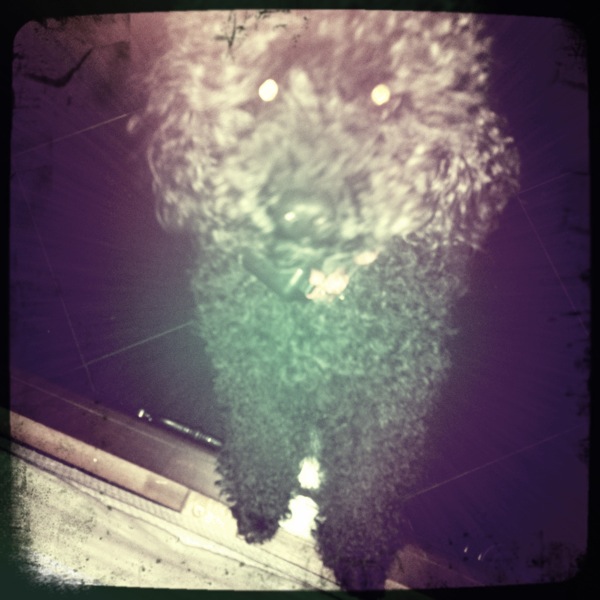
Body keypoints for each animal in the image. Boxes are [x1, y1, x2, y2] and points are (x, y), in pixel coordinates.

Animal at [131, 10, 519, 591]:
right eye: (266, 88)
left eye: (382, 95)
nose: (304, 212)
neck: (318, 312)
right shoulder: (255, 373)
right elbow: (264, 437)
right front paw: (259, 506)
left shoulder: (387, 399)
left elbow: (366, 481)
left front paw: (356, 554)